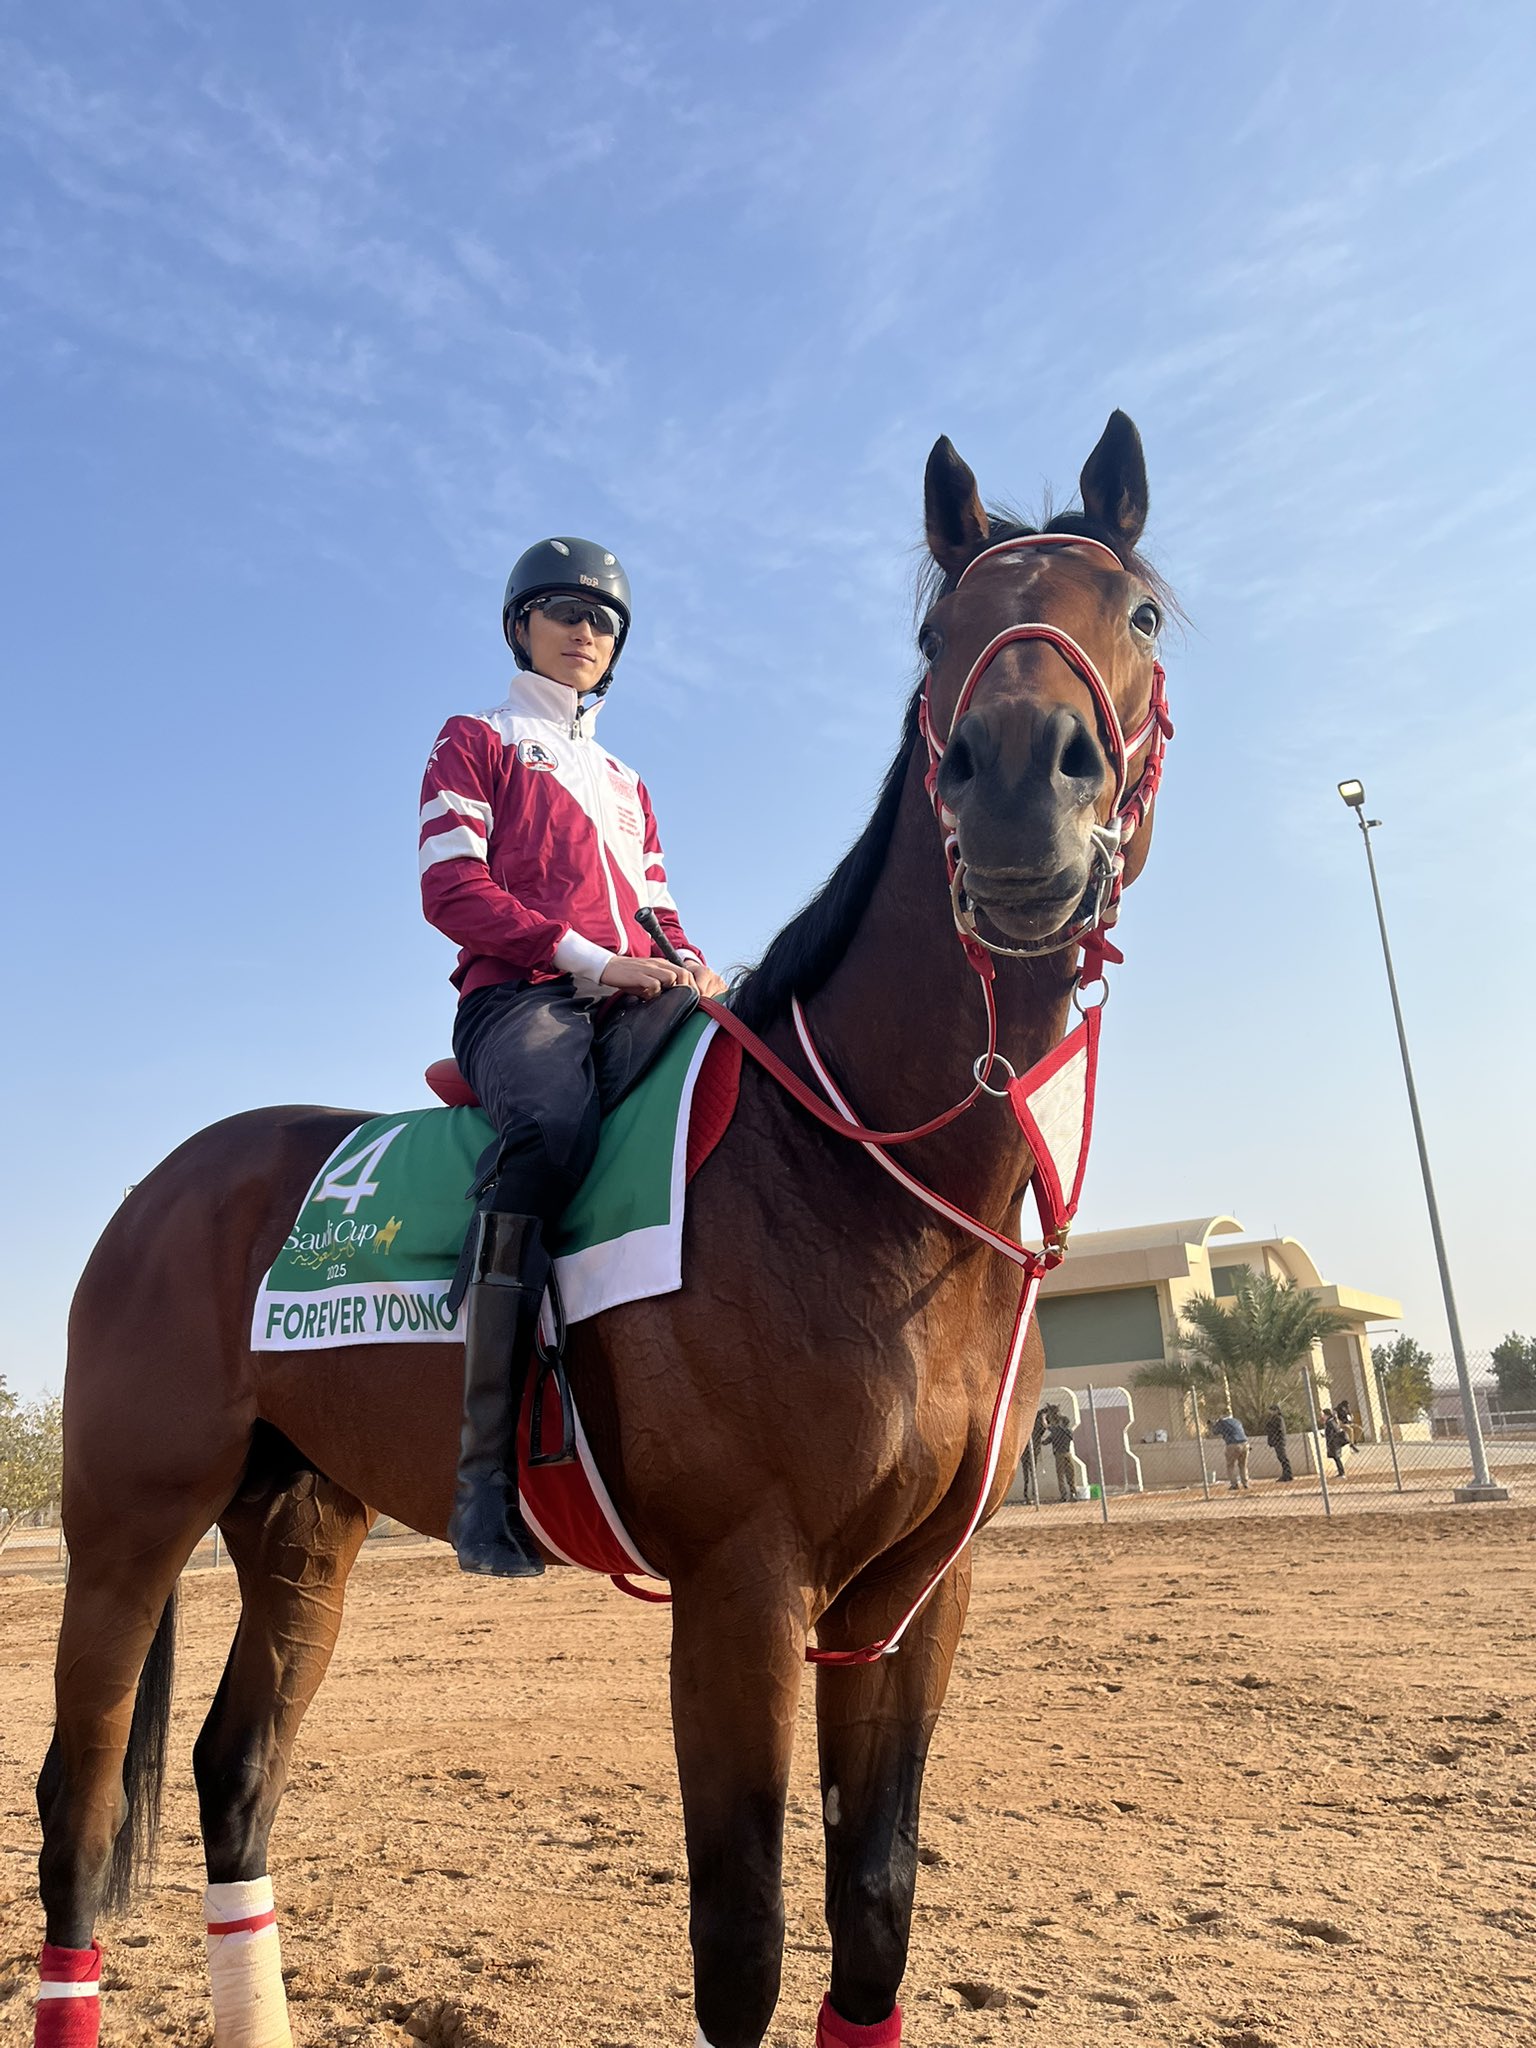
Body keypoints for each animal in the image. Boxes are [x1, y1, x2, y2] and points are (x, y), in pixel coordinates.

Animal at [34, 411, 1172, 2048]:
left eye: (1138, 615)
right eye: (933, 635)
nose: (1021, 783)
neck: (861, 1180)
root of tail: (164, 1184)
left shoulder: (911, 1596)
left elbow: (876, 1912)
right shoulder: (744, 1588)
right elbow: (744, 1938)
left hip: (300, 1528)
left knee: (233, 1773)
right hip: (126, 1529)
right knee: (73, 1808)